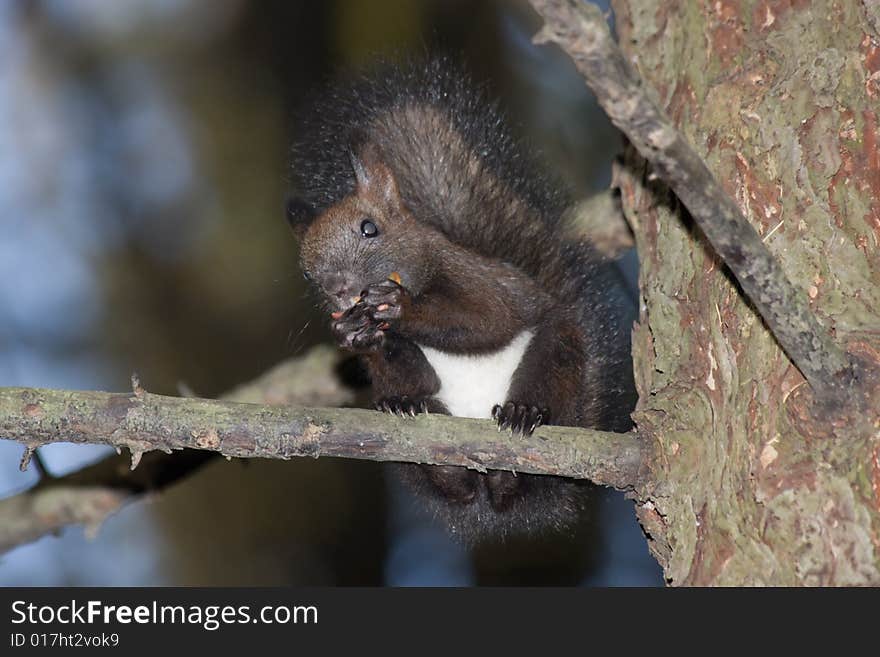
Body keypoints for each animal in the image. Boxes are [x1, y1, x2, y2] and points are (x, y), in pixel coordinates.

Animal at [286, 57, 636, 544]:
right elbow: (398, 361)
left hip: (558, 360)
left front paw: (400, 308)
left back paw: (522, 419)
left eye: (369, 228)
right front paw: (355, 334)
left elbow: (489, 320)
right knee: (457, 479)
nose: (338, 287)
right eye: (306, 271)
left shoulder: (479, 281)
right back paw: (415, 417)